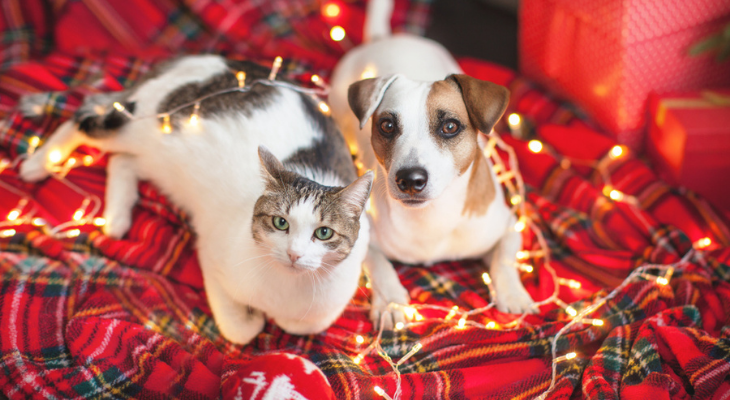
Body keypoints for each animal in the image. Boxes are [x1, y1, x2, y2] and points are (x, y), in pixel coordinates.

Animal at [19, 54, 372, 346]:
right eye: (280, 223)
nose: (294, 254)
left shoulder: (328, 305)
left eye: (323, 233)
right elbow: (241, 330)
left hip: (155, 158)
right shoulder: (212, 260)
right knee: (84, 118)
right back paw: (38, 164)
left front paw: (275, 318)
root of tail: (208, 58)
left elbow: (301, 324)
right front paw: (254, 318)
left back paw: (117, 219)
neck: (286, 286)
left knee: (121, 161)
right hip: (138, 125)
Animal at [330, 0, 536, 326]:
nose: (410, 179)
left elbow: (504, 259)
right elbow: (377, 262)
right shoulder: (362, 235)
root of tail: (386, 38)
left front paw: (514, 295)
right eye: (387, 126)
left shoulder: (508, 226)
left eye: (450, 127)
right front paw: (390, 301)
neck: (431, 218)